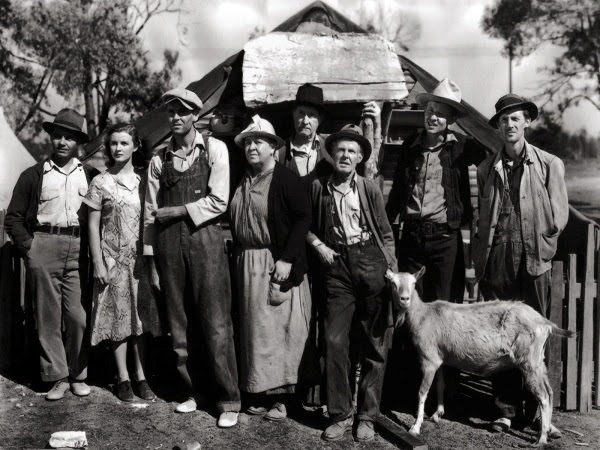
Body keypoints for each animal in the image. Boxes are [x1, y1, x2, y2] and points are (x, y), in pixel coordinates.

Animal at [385, 267, 576, 447]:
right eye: (393, 283)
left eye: (413, 283)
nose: (404, 299)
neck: (424, 315)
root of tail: (545, 322)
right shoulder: (440, 358)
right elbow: (440, 385)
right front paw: (437, 414)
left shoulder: (428, 358)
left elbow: (422, 392)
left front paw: (415, 427)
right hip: (538, 360)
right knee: (549, 391)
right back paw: (548, 430)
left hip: (529, 361)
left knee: (542, 396)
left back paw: (541, 438)